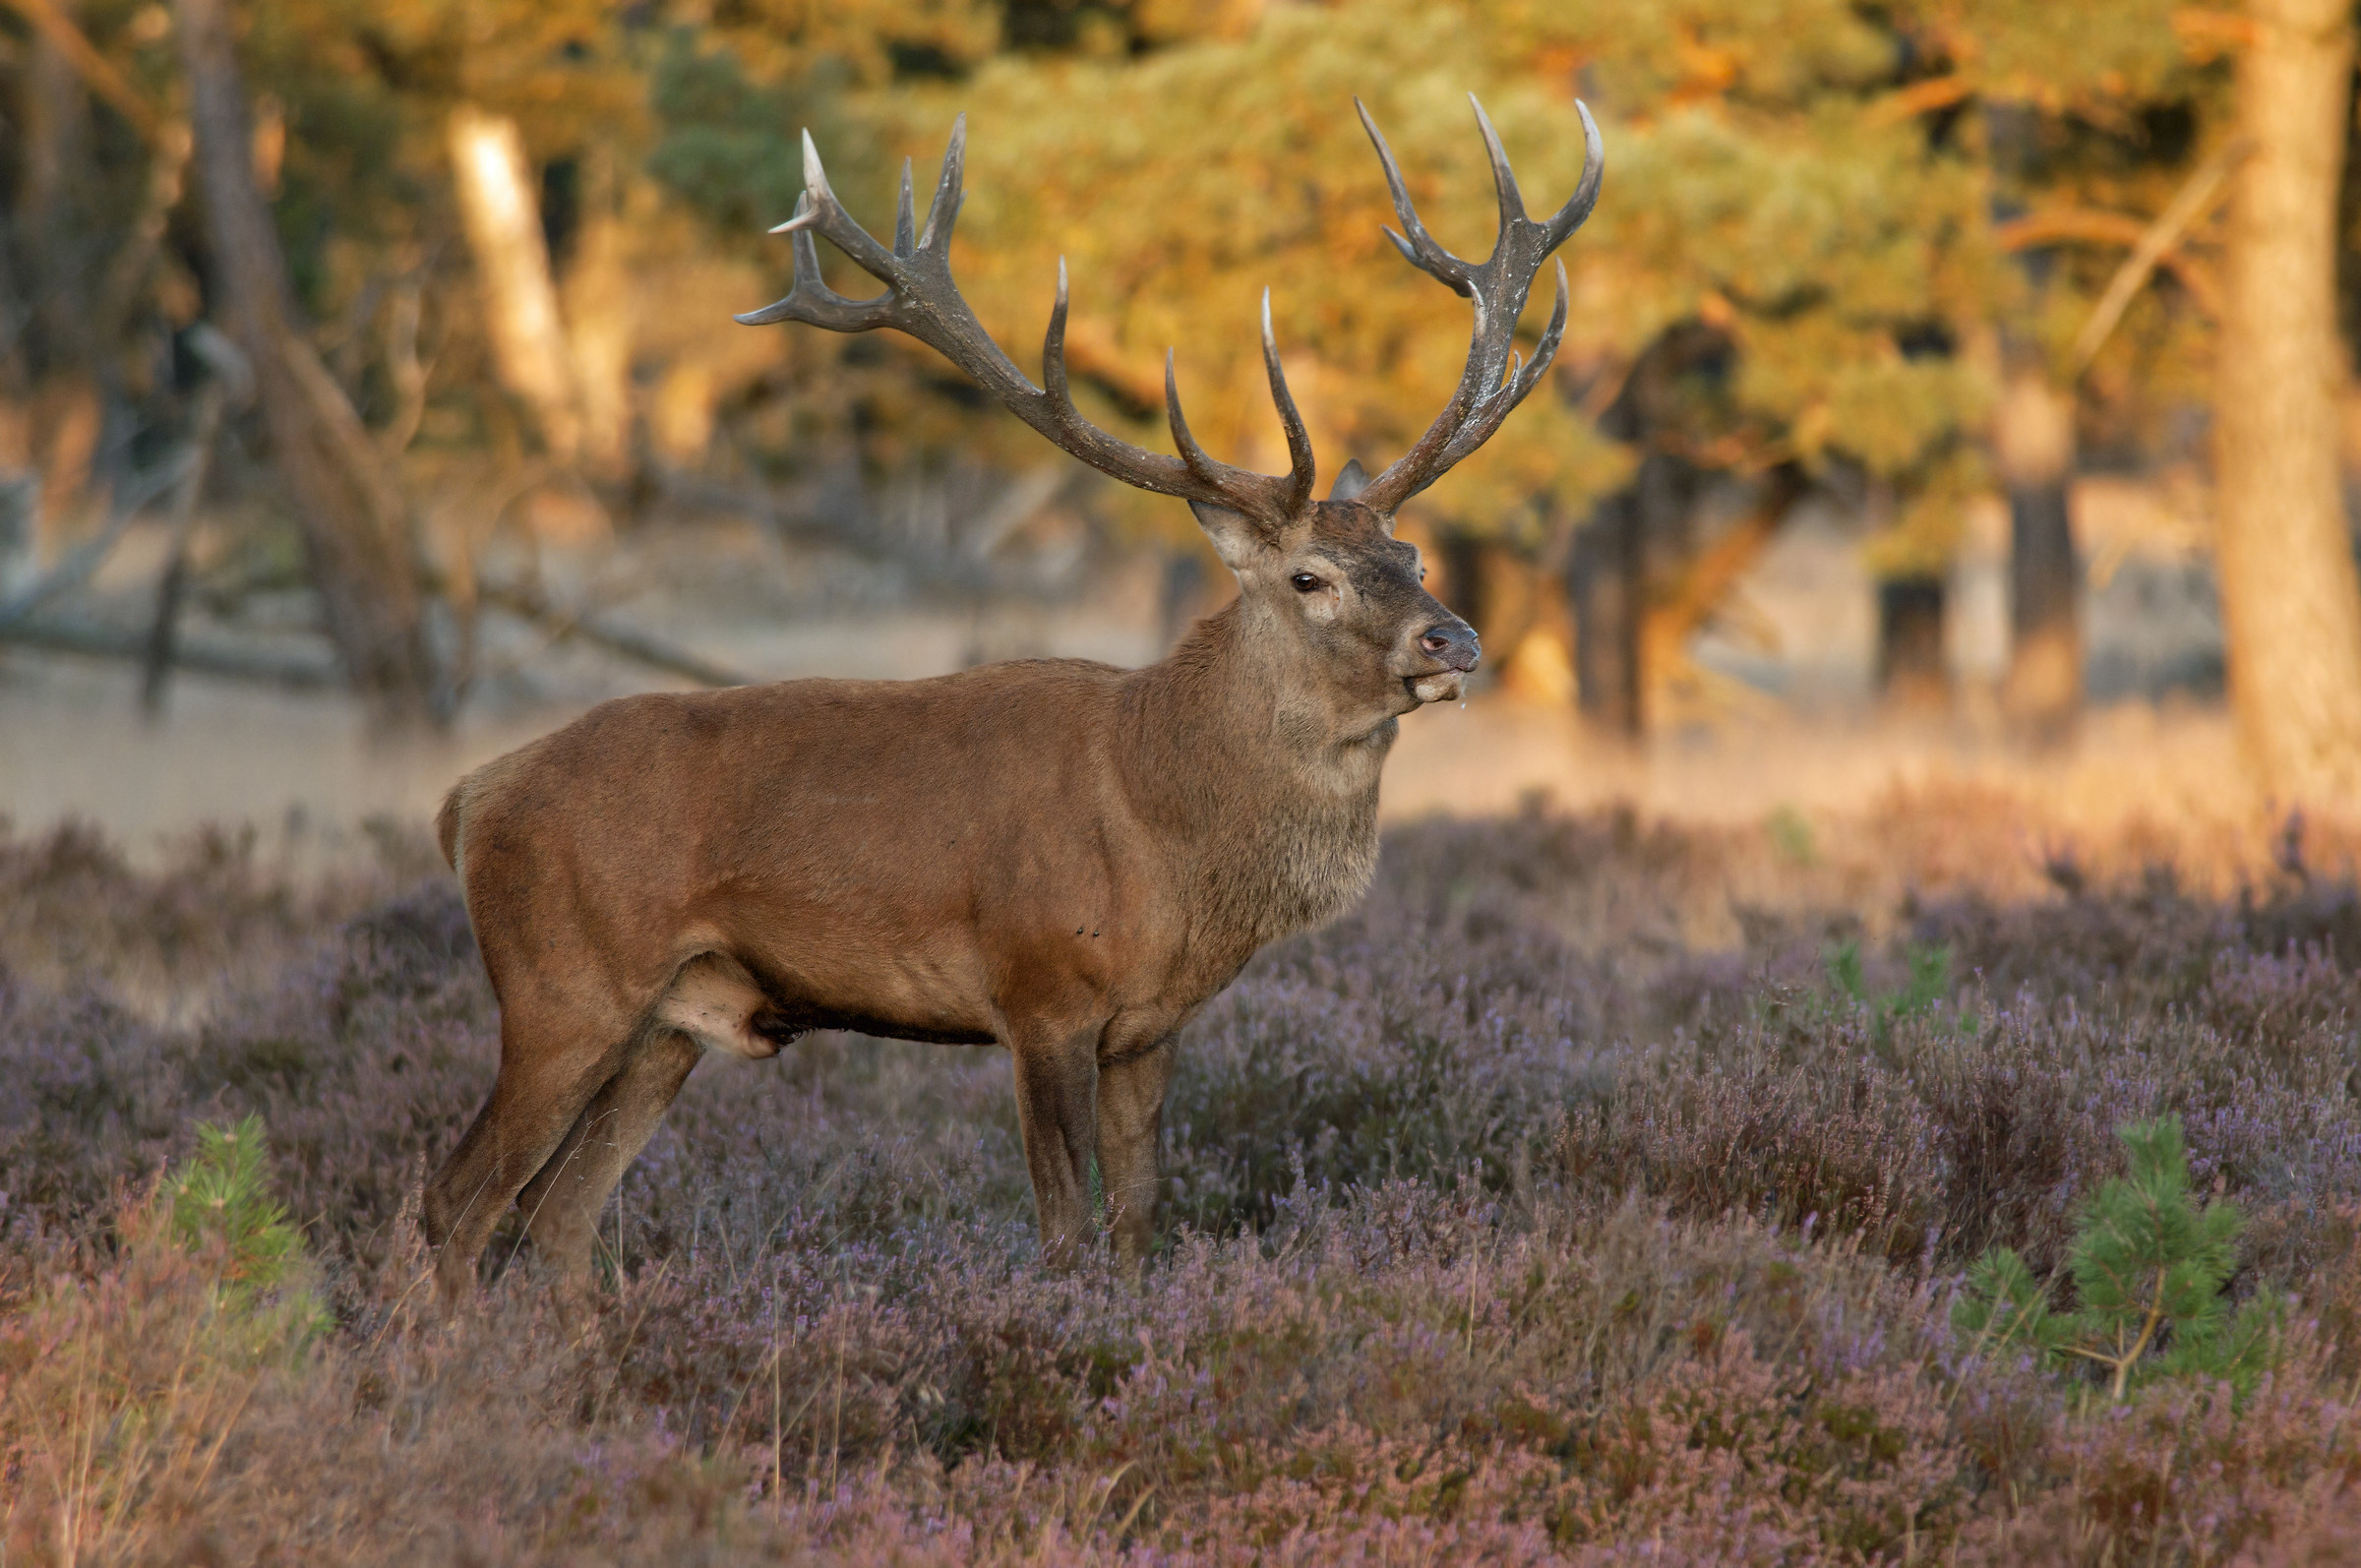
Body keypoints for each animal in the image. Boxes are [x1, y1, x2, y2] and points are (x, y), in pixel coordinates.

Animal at [420, 95, 1603, 1304]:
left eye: (1410, 553)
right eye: (1308, 577)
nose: (1454, 637)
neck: (1169, 837)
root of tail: (467, 802)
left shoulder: (1150, 1027)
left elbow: (1136, 1224)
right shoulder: (1039, 991)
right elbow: (1065, 1233)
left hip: (669, 1021)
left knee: (559, 1216)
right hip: (562, 987)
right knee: (455, 1199)